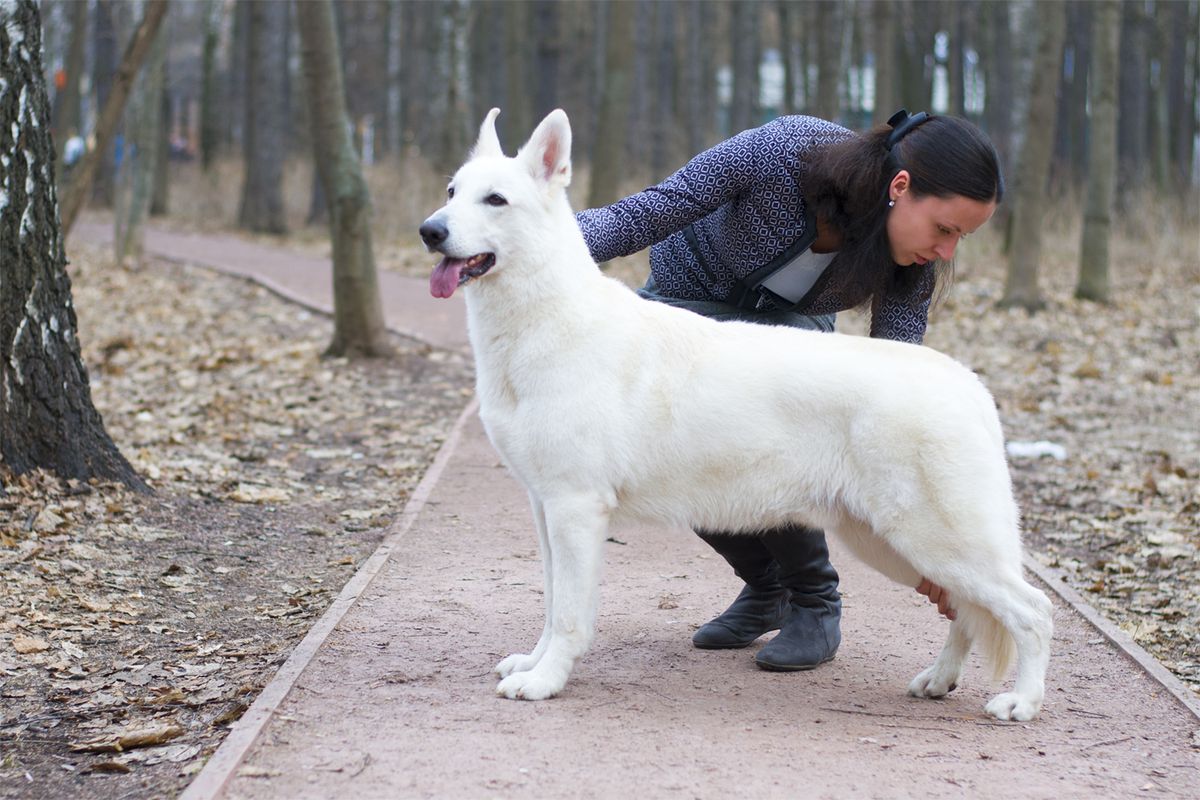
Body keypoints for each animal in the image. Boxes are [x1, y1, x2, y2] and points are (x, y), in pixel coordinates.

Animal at [420, 107, 1051, 724]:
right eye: (452, 192)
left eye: (495, 200)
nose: (430, 231)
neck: (544, 320)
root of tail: (967, 382)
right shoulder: (544, 507)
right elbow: (552, 604)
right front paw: (533, 663)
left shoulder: (574, 509)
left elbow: (571, 615)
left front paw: (545, 681)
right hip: (891, 543)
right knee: (967, 612)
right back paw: (939, 680)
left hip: (935, 540)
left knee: (1031, 610)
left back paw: (1022, 702)